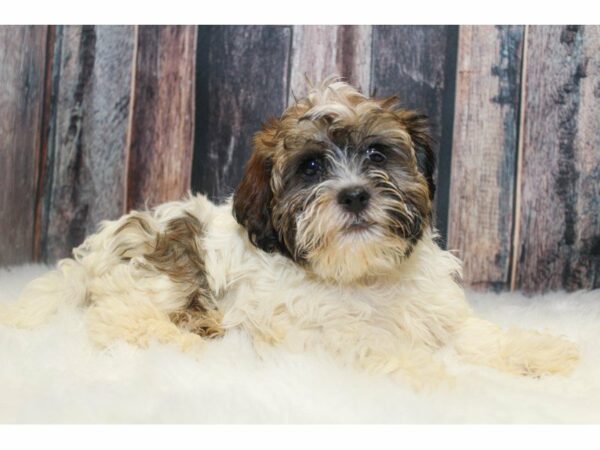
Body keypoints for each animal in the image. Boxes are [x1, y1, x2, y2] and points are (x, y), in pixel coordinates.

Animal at [1, 78, 580, 386]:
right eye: (311, 168)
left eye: (377, 154)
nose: (354, 195)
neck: (362, 276)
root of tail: (92, 255)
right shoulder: (319, 336)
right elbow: (378, 348)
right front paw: (434, 376)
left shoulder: (434, 310)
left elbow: (476, 336)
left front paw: (537, 351)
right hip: (162, 275)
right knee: (119, 321)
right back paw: (191, 344)